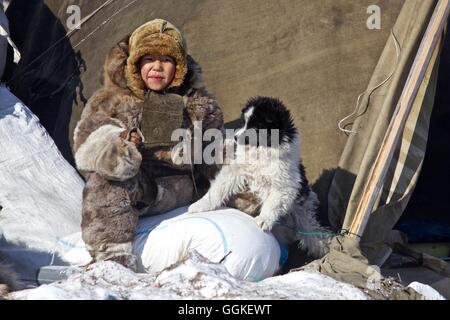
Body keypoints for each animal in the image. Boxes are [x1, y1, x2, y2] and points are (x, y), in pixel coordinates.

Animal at [188, 97, 328, 258]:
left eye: (255, 129)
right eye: (243, 122)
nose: (235, 137)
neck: (261, 151)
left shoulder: (284, 185)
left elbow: (273, 204)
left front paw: (263, 220)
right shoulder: (236, 171)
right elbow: (218, 188)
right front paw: (200, 205)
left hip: (303, 210)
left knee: (312, 230)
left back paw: (322, 248)